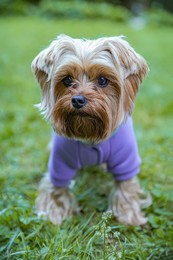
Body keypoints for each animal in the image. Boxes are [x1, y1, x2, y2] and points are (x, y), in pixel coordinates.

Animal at [31, 34, 151, 225]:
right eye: (67, 79)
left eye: (102, 80)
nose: (78, 100)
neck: (90, 136)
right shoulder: (60, 162)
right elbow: (57, 187)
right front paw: (55, 212)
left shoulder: (126, 160)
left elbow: (126, 185)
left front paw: (129, 215)